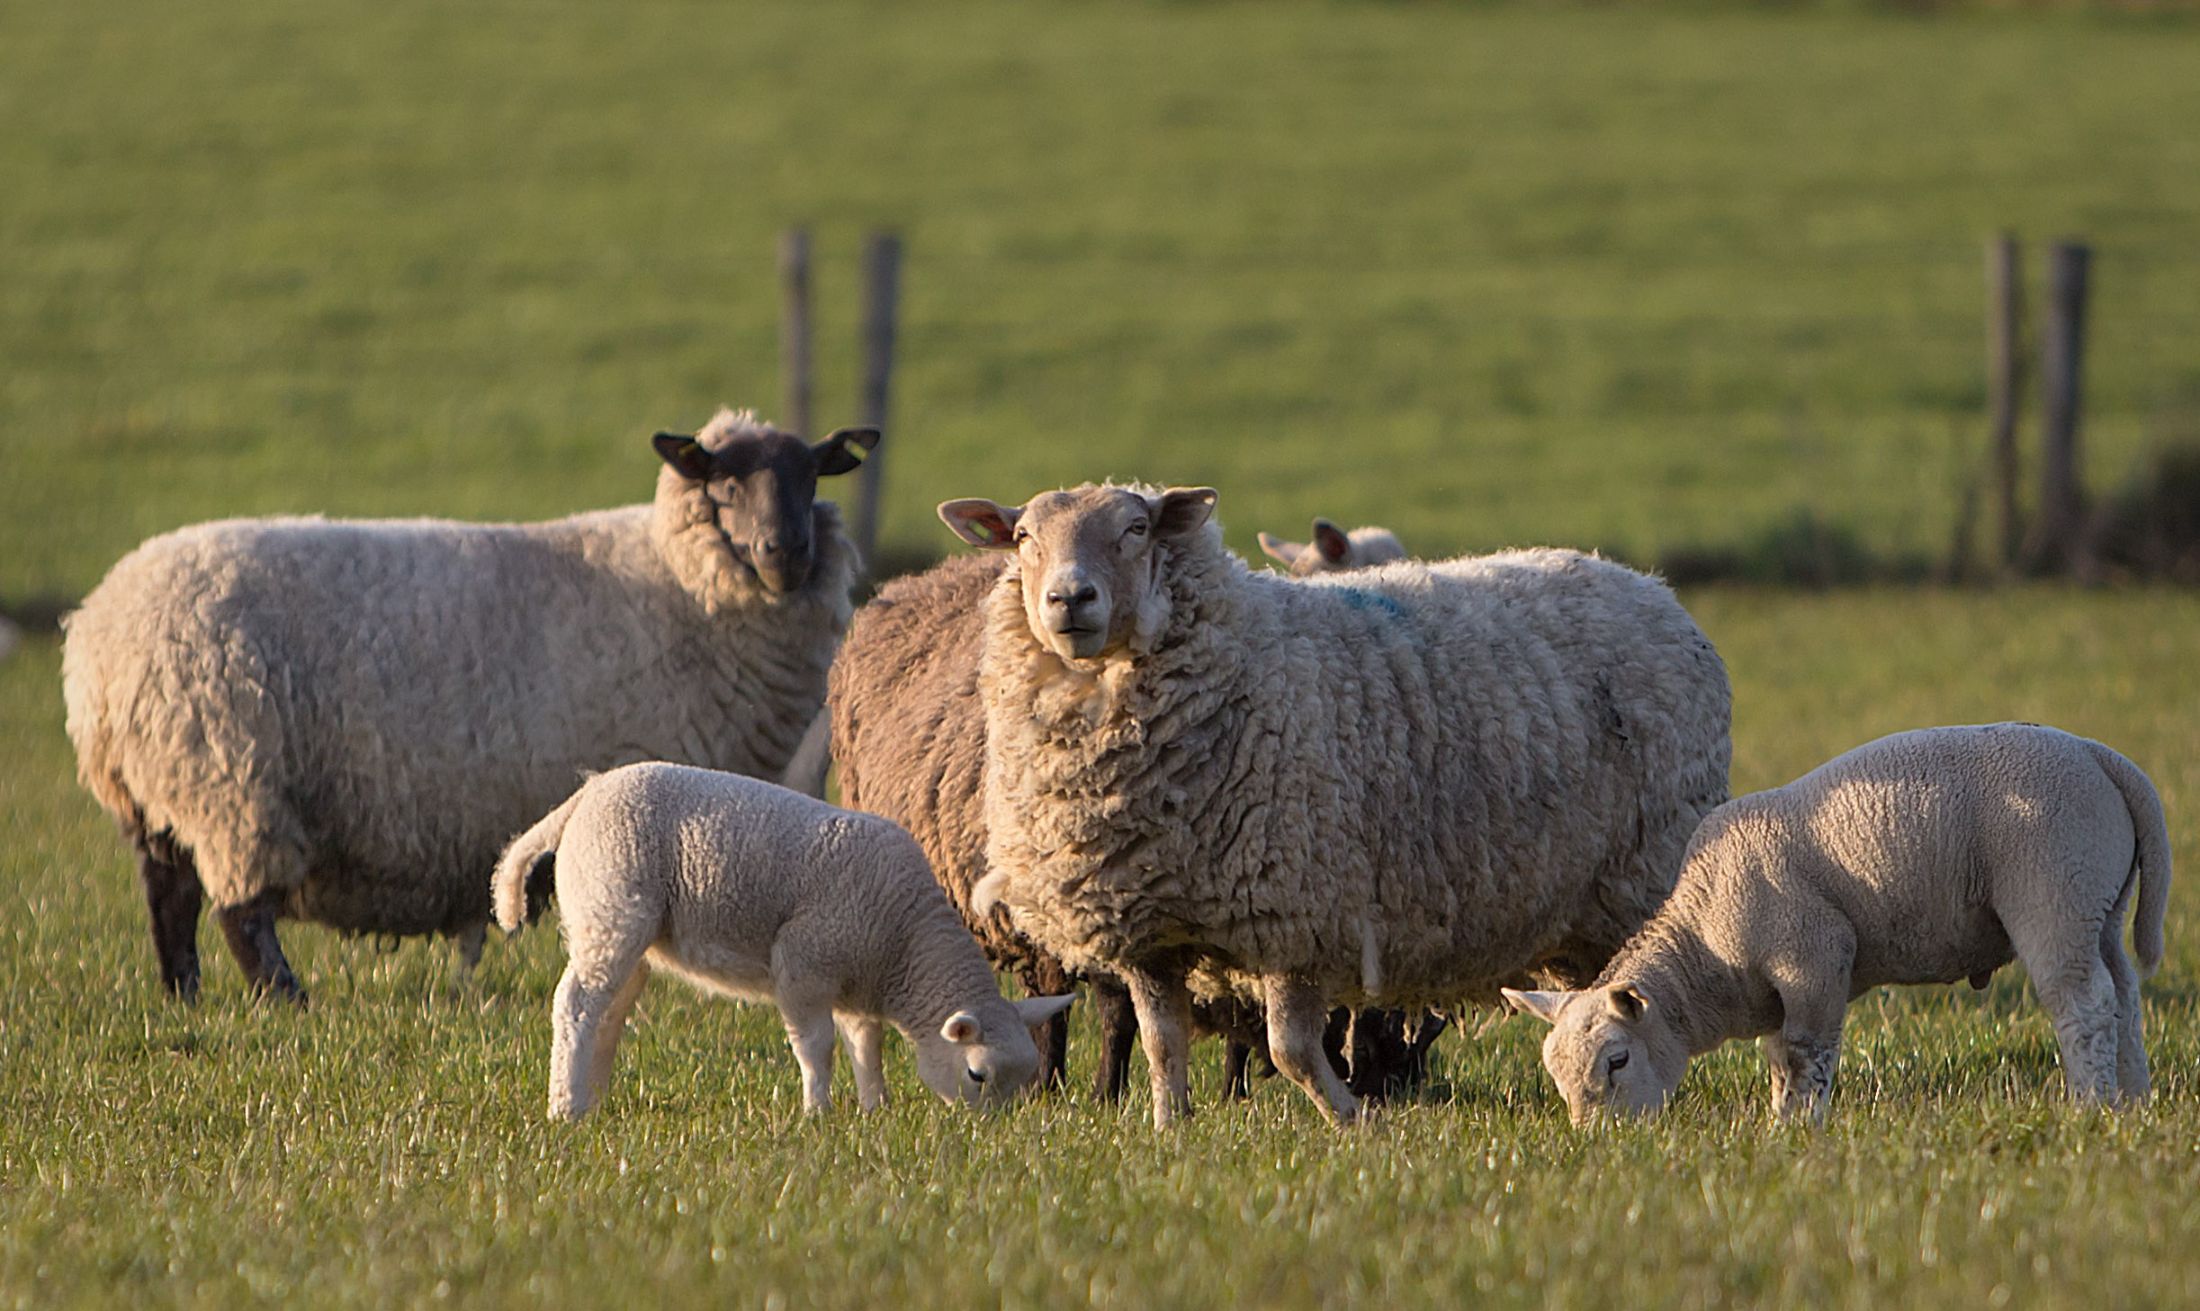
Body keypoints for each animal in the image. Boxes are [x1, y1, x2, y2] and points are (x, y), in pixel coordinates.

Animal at [62, 408, 877, 1005]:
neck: (678, 582)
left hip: (159, 793)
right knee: (239, 912)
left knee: (168, 897)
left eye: (810, 475)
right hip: (230, 781)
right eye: (723, 482)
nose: (785, 552)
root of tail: (99, 630)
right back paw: (287, 1002)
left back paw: (184, 997)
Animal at [491, 761, 1074, 1119]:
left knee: (608, 1011)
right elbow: (816, 1046)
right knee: (577, 1004)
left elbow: (866, 1044)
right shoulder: (804, 963)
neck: (905, 941)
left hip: (615, 919)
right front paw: (819, 1112)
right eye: (977, 1074)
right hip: (611, 903)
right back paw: (565, 1107)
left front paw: (875, 1108)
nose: (988, 1130)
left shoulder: (856, 980)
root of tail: (585, 795)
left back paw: (592, 1097)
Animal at [1505, 723, 2172, 1124]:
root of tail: (2100, 757)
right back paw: (2133, 1100)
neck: (1705, 939)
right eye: (1555, 1074)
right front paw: (1779, 1121)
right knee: (2124, 997)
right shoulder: (1778, 989)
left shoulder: (1814, 956)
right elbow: (1779, 1057)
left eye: (1616, 1061)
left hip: (2054, 889)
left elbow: (1808, 1054)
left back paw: (2091, 1106)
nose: (1602, 1141)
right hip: (2099, 905)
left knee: (2083, 1003)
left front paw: (1801, 1129)